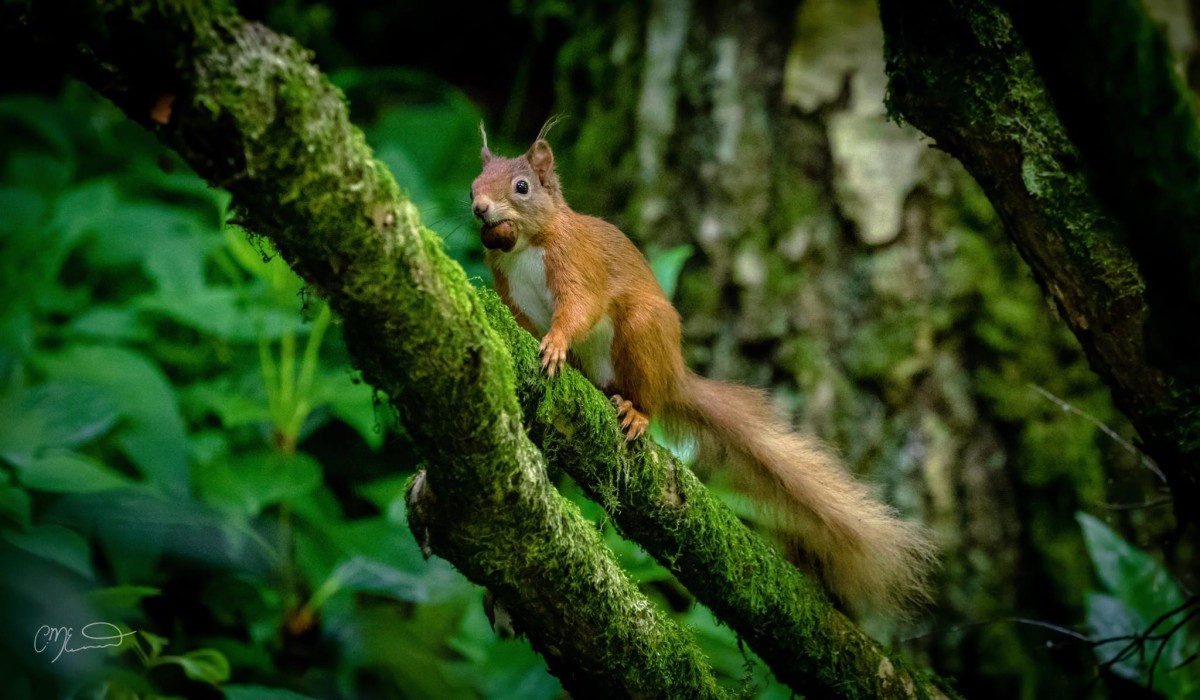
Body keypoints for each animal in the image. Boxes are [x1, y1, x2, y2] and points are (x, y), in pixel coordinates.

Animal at [470, 123, 936, 618]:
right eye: (473, 187)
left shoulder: (578, 263)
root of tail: (675, 375)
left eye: (522, 186)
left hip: (642, 333)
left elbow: (580, 307)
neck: (525, 247)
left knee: (647, 395)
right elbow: (519, 320)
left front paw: (557, 343)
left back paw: (635, 411)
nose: (480, 208)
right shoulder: (513, 291)